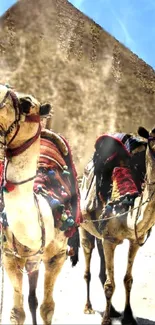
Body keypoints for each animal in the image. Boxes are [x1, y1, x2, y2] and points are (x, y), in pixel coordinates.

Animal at [80, 127, 155, 324]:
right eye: (152, 140)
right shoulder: (110, 240)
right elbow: (109, 284)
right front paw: (105, 320)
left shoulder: (135, 240)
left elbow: (128, 280)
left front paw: (128, 316)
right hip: (84, 228)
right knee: (88, 266)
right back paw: (88, 307)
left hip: (100, 235)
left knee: (101, 271)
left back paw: (113, 310)